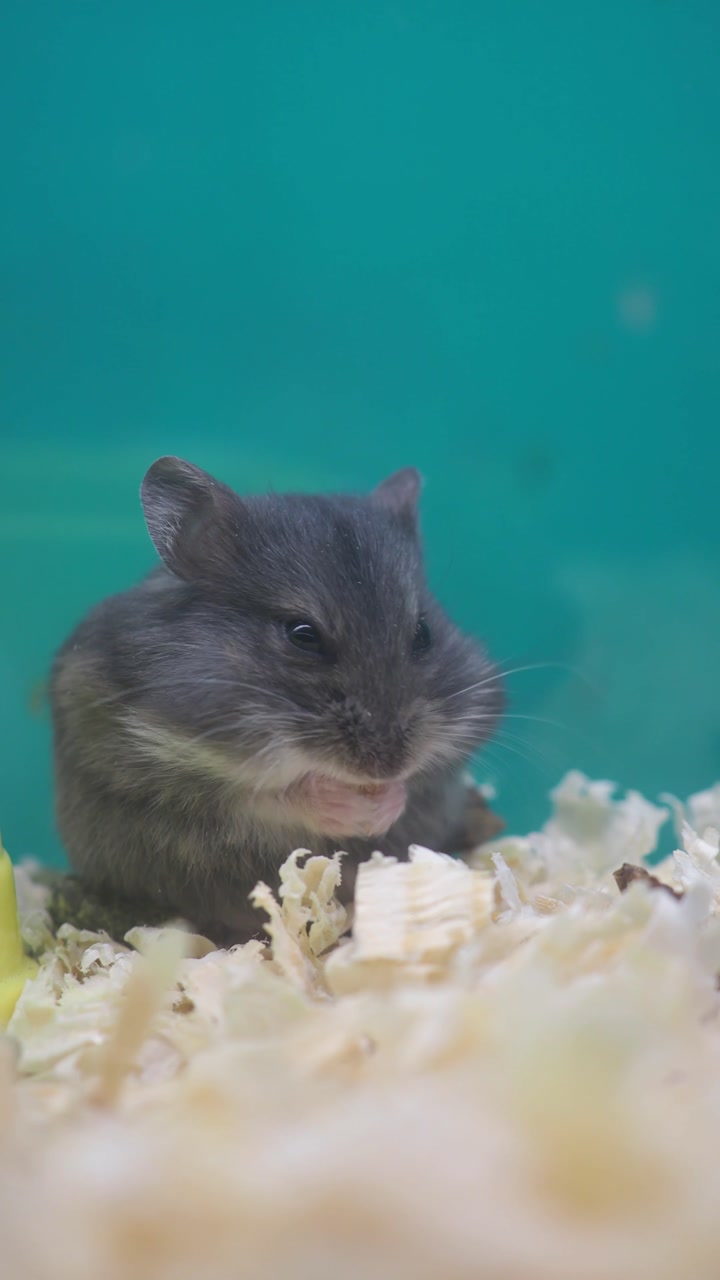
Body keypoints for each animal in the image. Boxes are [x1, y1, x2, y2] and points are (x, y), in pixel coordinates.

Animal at [50, 458, 503, 943]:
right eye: (301, 634)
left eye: (423, 632)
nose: (386, 767)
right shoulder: (171, 766)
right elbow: (273, 797)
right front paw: (351, 809)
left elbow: (418, 783)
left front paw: (384, 806)